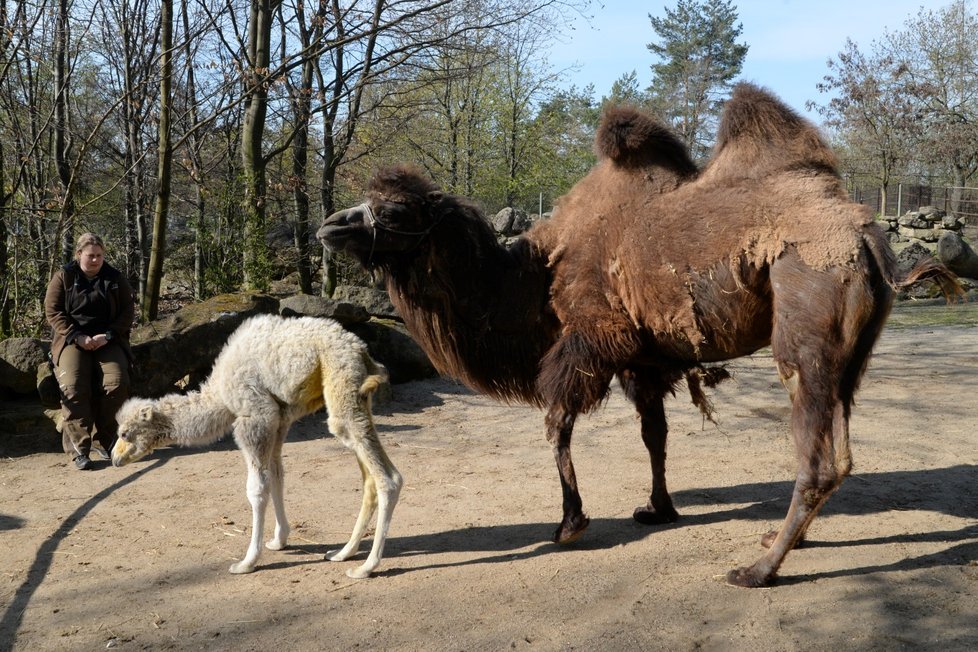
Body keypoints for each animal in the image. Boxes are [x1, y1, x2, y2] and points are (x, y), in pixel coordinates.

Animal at [112, 314, 402, 580]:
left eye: (125, 433)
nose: (115, 458)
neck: (219, 394)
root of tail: (361, 351)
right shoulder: (279, 421)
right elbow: (276, 475)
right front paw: (279, 540)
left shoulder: (255, 417)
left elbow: (256, 488)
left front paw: (247, 561)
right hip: (357, 398)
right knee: (369, 478)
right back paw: (342, 553)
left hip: (341, 387)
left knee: (388, 478)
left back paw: (366, 567)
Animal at [316, 81, 956, 584]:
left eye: (394, 212)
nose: (329, 225)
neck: (535, 272)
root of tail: (869, 238)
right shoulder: (642, 358)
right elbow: (655, 435)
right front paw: (658, 508)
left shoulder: (591, 336)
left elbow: (557, 423)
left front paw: (570, 523)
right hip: (852, 351)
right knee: (840, 449)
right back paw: (781, 542)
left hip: (805, 327)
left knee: (816, 451)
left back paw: (758, 570)